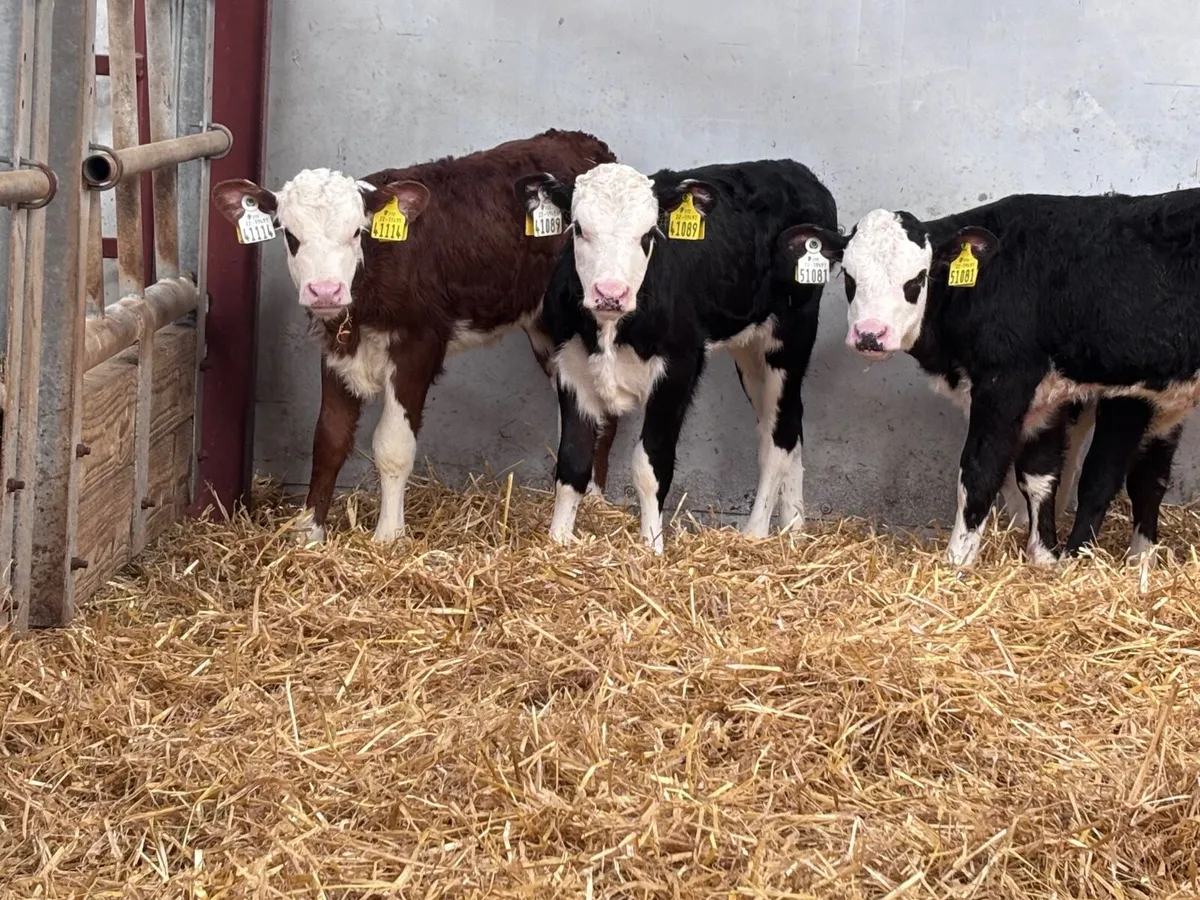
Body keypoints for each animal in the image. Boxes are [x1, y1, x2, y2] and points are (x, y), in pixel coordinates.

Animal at [211, 129, 620, 544]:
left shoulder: (418, 346)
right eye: (291, 236)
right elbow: (329, 439)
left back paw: (595, 501)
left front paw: (388, 536)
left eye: (355, 232)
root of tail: (582, 142)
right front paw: (309, 532)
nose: (324, 291)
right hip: (543, 328)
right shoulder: (337, 348)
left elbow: (392, 446)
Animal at [517, 159, 838, 552]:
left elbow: (650, 465)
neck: (610, 330)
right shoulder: (570, 366)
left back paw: (755, 532)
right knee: (783, 425)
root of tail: (795, 169)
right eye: (578, 228)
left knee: (779, 439)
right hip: (751, 351)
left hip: (790, 339)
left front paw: (650, 548)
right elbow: (572, 463)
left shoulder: (679, 369)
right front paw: (559, 541)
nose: (611, 293)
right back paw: (793, 529)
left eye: (648, 234)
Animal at [785, 190, 1200, 566]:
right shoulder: (1045, 397)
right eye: (849, 277)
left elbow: (979, 474)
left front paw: (957, 562)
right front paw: (1044, 558)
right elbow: (1039, 474)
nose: (870, 334)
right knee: (1148, 479)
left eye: (917, 280)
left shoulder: (1004, 384)